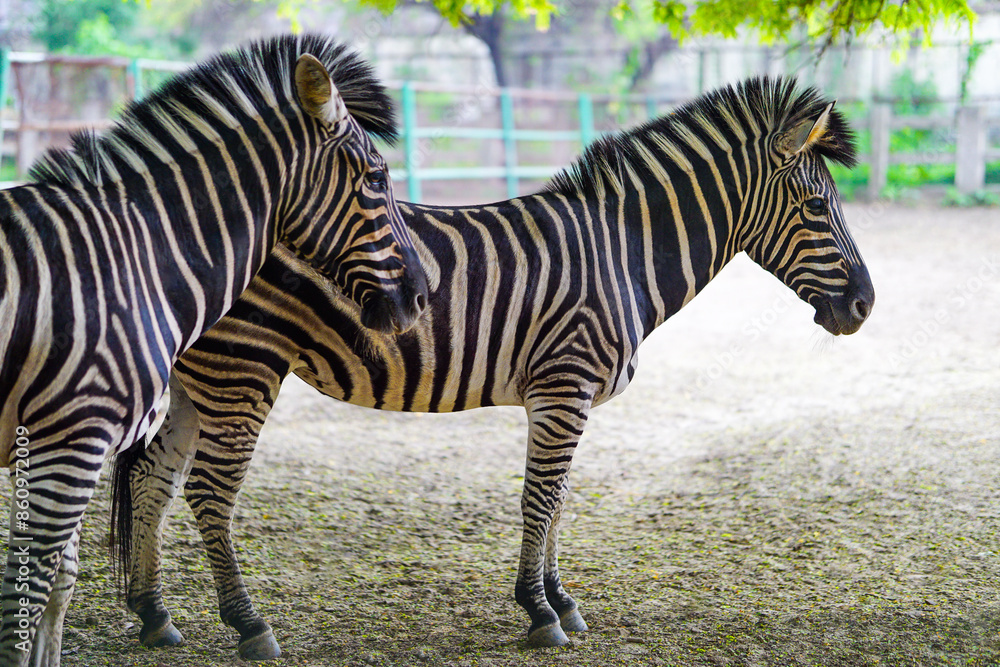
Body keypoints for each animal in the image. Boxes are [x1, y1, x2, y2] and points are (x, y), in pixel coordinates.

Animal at [0, 34, 427, 666]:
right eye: (376, 178)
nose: (421, 297)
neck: (139, 258)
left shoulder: (56, 446)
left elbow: (58, 582)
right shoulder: (71, 440)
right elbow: (27, 591)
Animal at [112, 76, 874, 659]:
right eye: (815, 206)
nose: (865, 306)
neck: (621, 253)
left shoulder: (569, 396)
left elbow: (559, 498)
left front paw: (562, 600)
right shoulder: (564, 384)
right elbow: (539, 498)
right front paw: (539, 611)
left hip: (200, 378)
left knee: (153, 478)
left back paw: (154, 616)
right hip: (245, 365)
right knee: (209, 492)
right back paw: (249, 625)